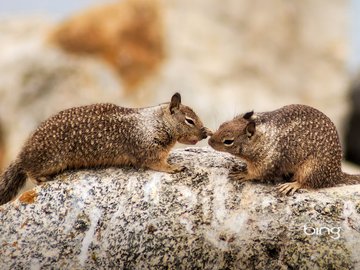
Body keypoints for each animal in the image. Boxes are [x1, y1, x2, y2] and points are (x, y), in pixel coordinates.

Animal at [0, 92, 211, 204]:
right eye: (189, 121)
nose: (204, 134)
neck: (154, 122)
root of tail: (23, 152)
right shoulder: (148, 149)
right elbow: (157, 163)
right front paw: (174, 167)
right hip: (50, 160)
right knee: (30, 170)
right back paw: (42, 178)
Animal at [208, 103, 360, 194]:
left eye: (228, 141)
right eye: (222, 124)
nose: (209, 142)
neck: (262, 138)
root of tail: (337, 173)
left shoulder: (268, 161)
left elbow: (257, 173)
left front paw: (243, 174)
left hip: (311, 168)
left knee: (309, 183)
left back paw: (292, 185)